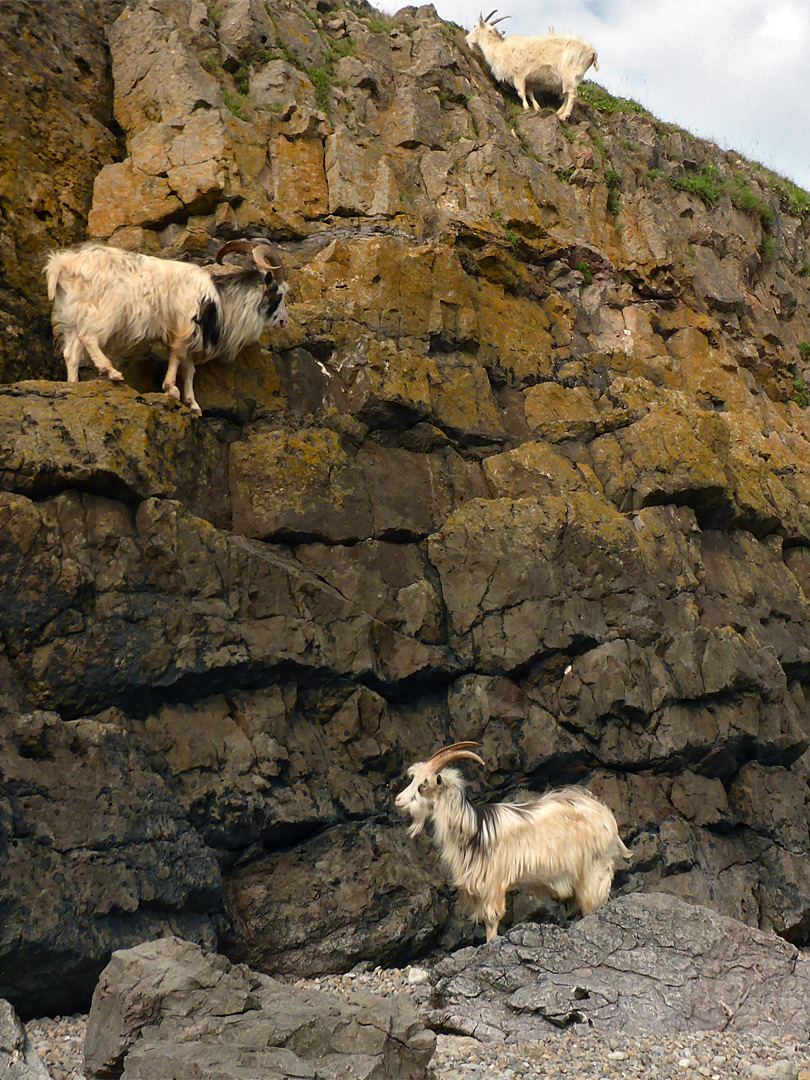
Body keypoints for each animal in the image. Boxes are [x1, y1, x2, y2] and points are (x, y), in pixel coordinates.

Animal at [44, 238, 289, 414]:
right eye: (278, 294)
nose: (284, 321)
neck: (221, 301)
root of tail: (62, 264)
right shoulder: (184, 329)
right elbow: (176, 357)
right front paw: (171, 390)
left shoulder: (192, 338)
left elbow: (189, 369)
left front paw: (193, 405)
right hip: (103, 312)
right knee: (88, 337)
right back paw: (111, 372)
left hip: (72, 316)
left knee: (71, 353)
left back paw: (74, 385)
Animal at [397, 743, 630, 946]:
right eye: (413, 779)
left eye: (423, 785)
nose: (398, 800)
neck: (474, 828)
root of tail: (605, 815)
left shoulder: (492, 883)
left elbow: (492, 920)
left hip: (594, 869)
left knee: (593, 904)